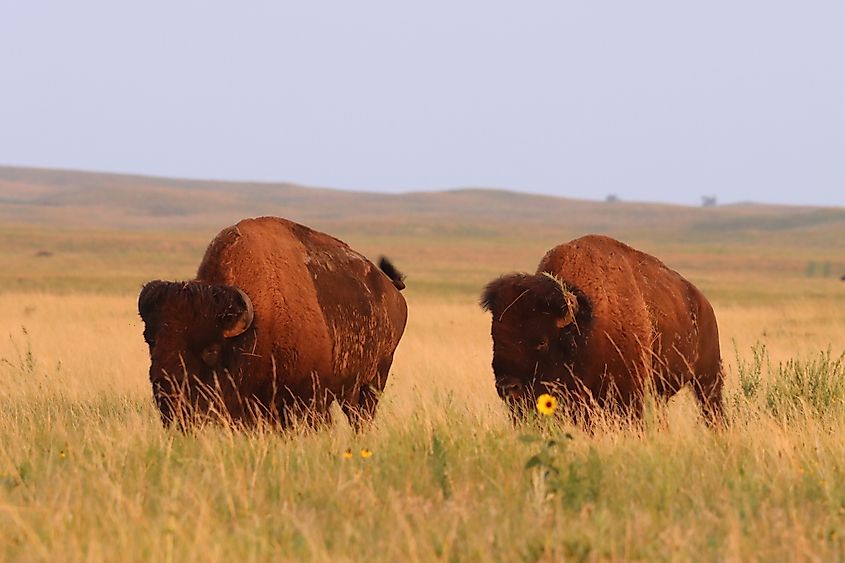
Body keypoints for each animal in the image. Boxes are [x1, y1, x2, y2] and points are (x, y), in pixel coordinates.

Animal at [137, 218, 408, 430]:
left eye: (211, 350)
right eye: (151, 341)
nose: (165, 389)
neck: (255, 325)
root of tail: (392, 290)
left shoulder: (308, 399)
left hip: (373, 381)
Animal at [478, 236, 724, 426]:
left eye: (541, 342)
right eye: (494, 337)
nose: (507, 387)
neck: (585, 325)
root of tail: (702, 303)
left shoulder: (628, 397)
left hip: (707, 380)